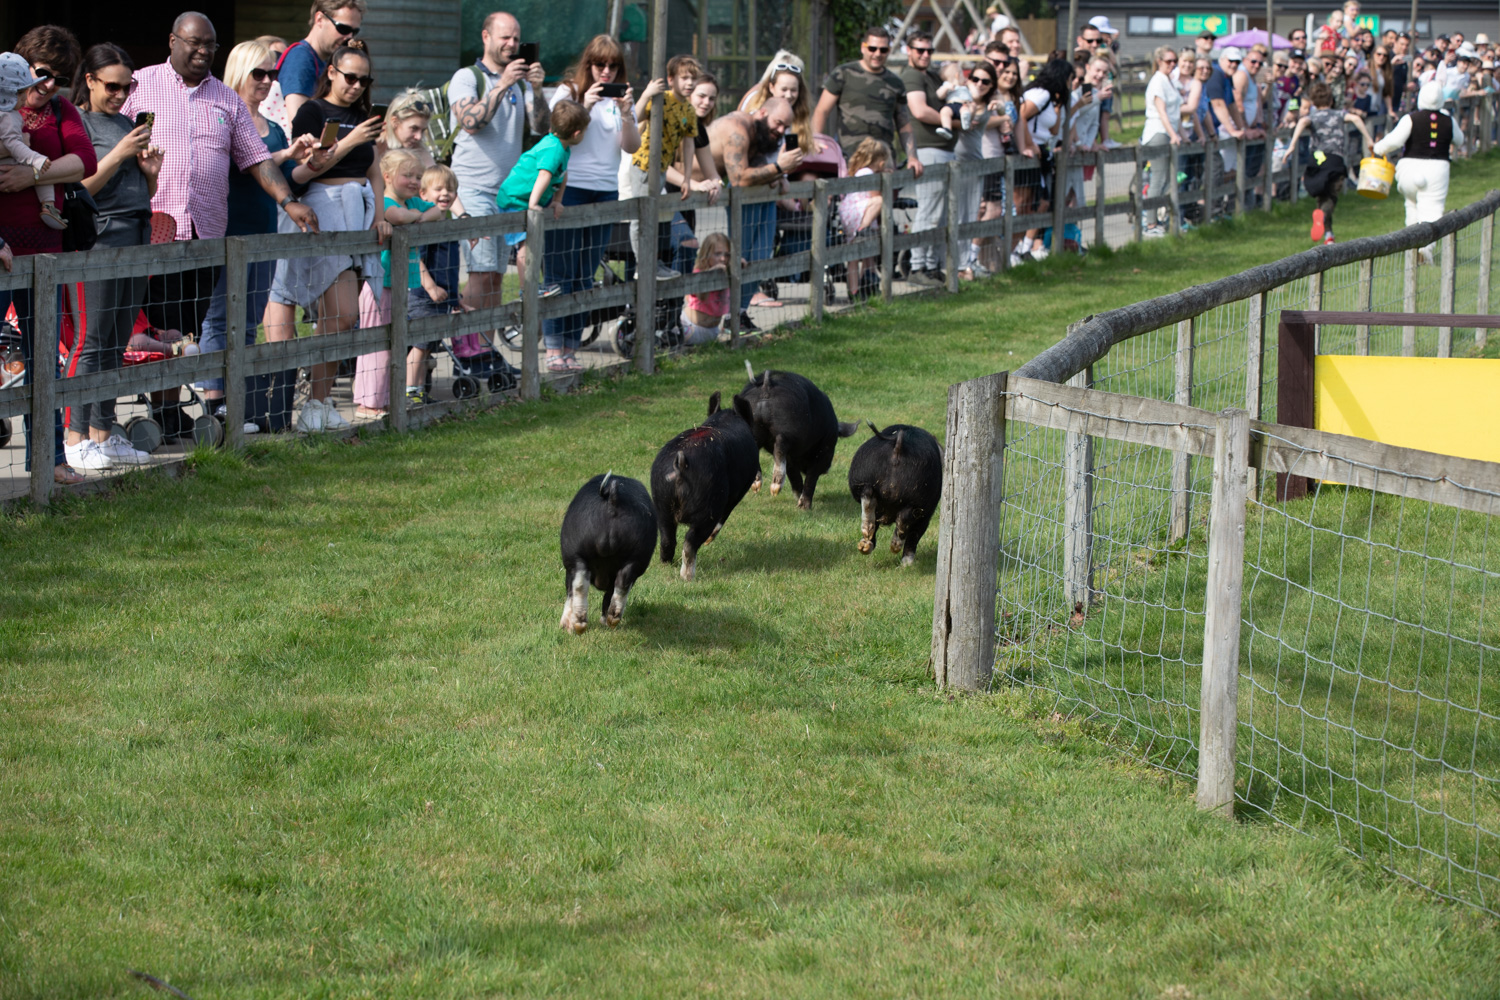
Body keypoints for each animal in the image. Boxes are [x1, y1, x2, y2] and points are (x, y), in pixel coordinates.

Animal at [559, 472, 657, 633]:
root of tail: (613, 499)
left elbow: (569, 590)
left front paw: (564, 627)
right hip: (637, 555)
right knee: (621, 584)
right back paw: (610, 621)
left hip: (575, 552)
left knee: (579, 584)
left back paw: (577, 626)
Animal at [651, 391, 762, 581]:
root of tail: (681, 464)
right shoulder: (736, 495)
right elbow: (724, 517)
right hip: (709, 504)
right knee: (690, 541)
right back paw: (688, 576)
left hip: (661, 502)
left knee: (667, 539)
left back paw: (667, 564)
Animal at [733, 362, 858, 510]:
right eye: (834, 445)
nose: (827, 469)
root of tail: (766, 385)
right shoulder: (823, 450)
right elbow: (811, 476)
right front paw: (805, 507)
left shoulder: (792, 459)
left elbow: (794, 475)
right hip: (787, 428)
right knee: (780, 448)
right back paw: (776, 488)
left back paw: (757, 485)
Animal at [847, 421, 943, 566]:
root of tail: (899, 443)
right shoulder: (926, 516)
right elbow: (915, 536)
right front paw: (906, 565)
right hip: (919, 500)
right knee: (905, 521)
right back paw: (896, 549)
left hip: (865, 477)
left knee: (868, 499)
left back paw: (864, 546)